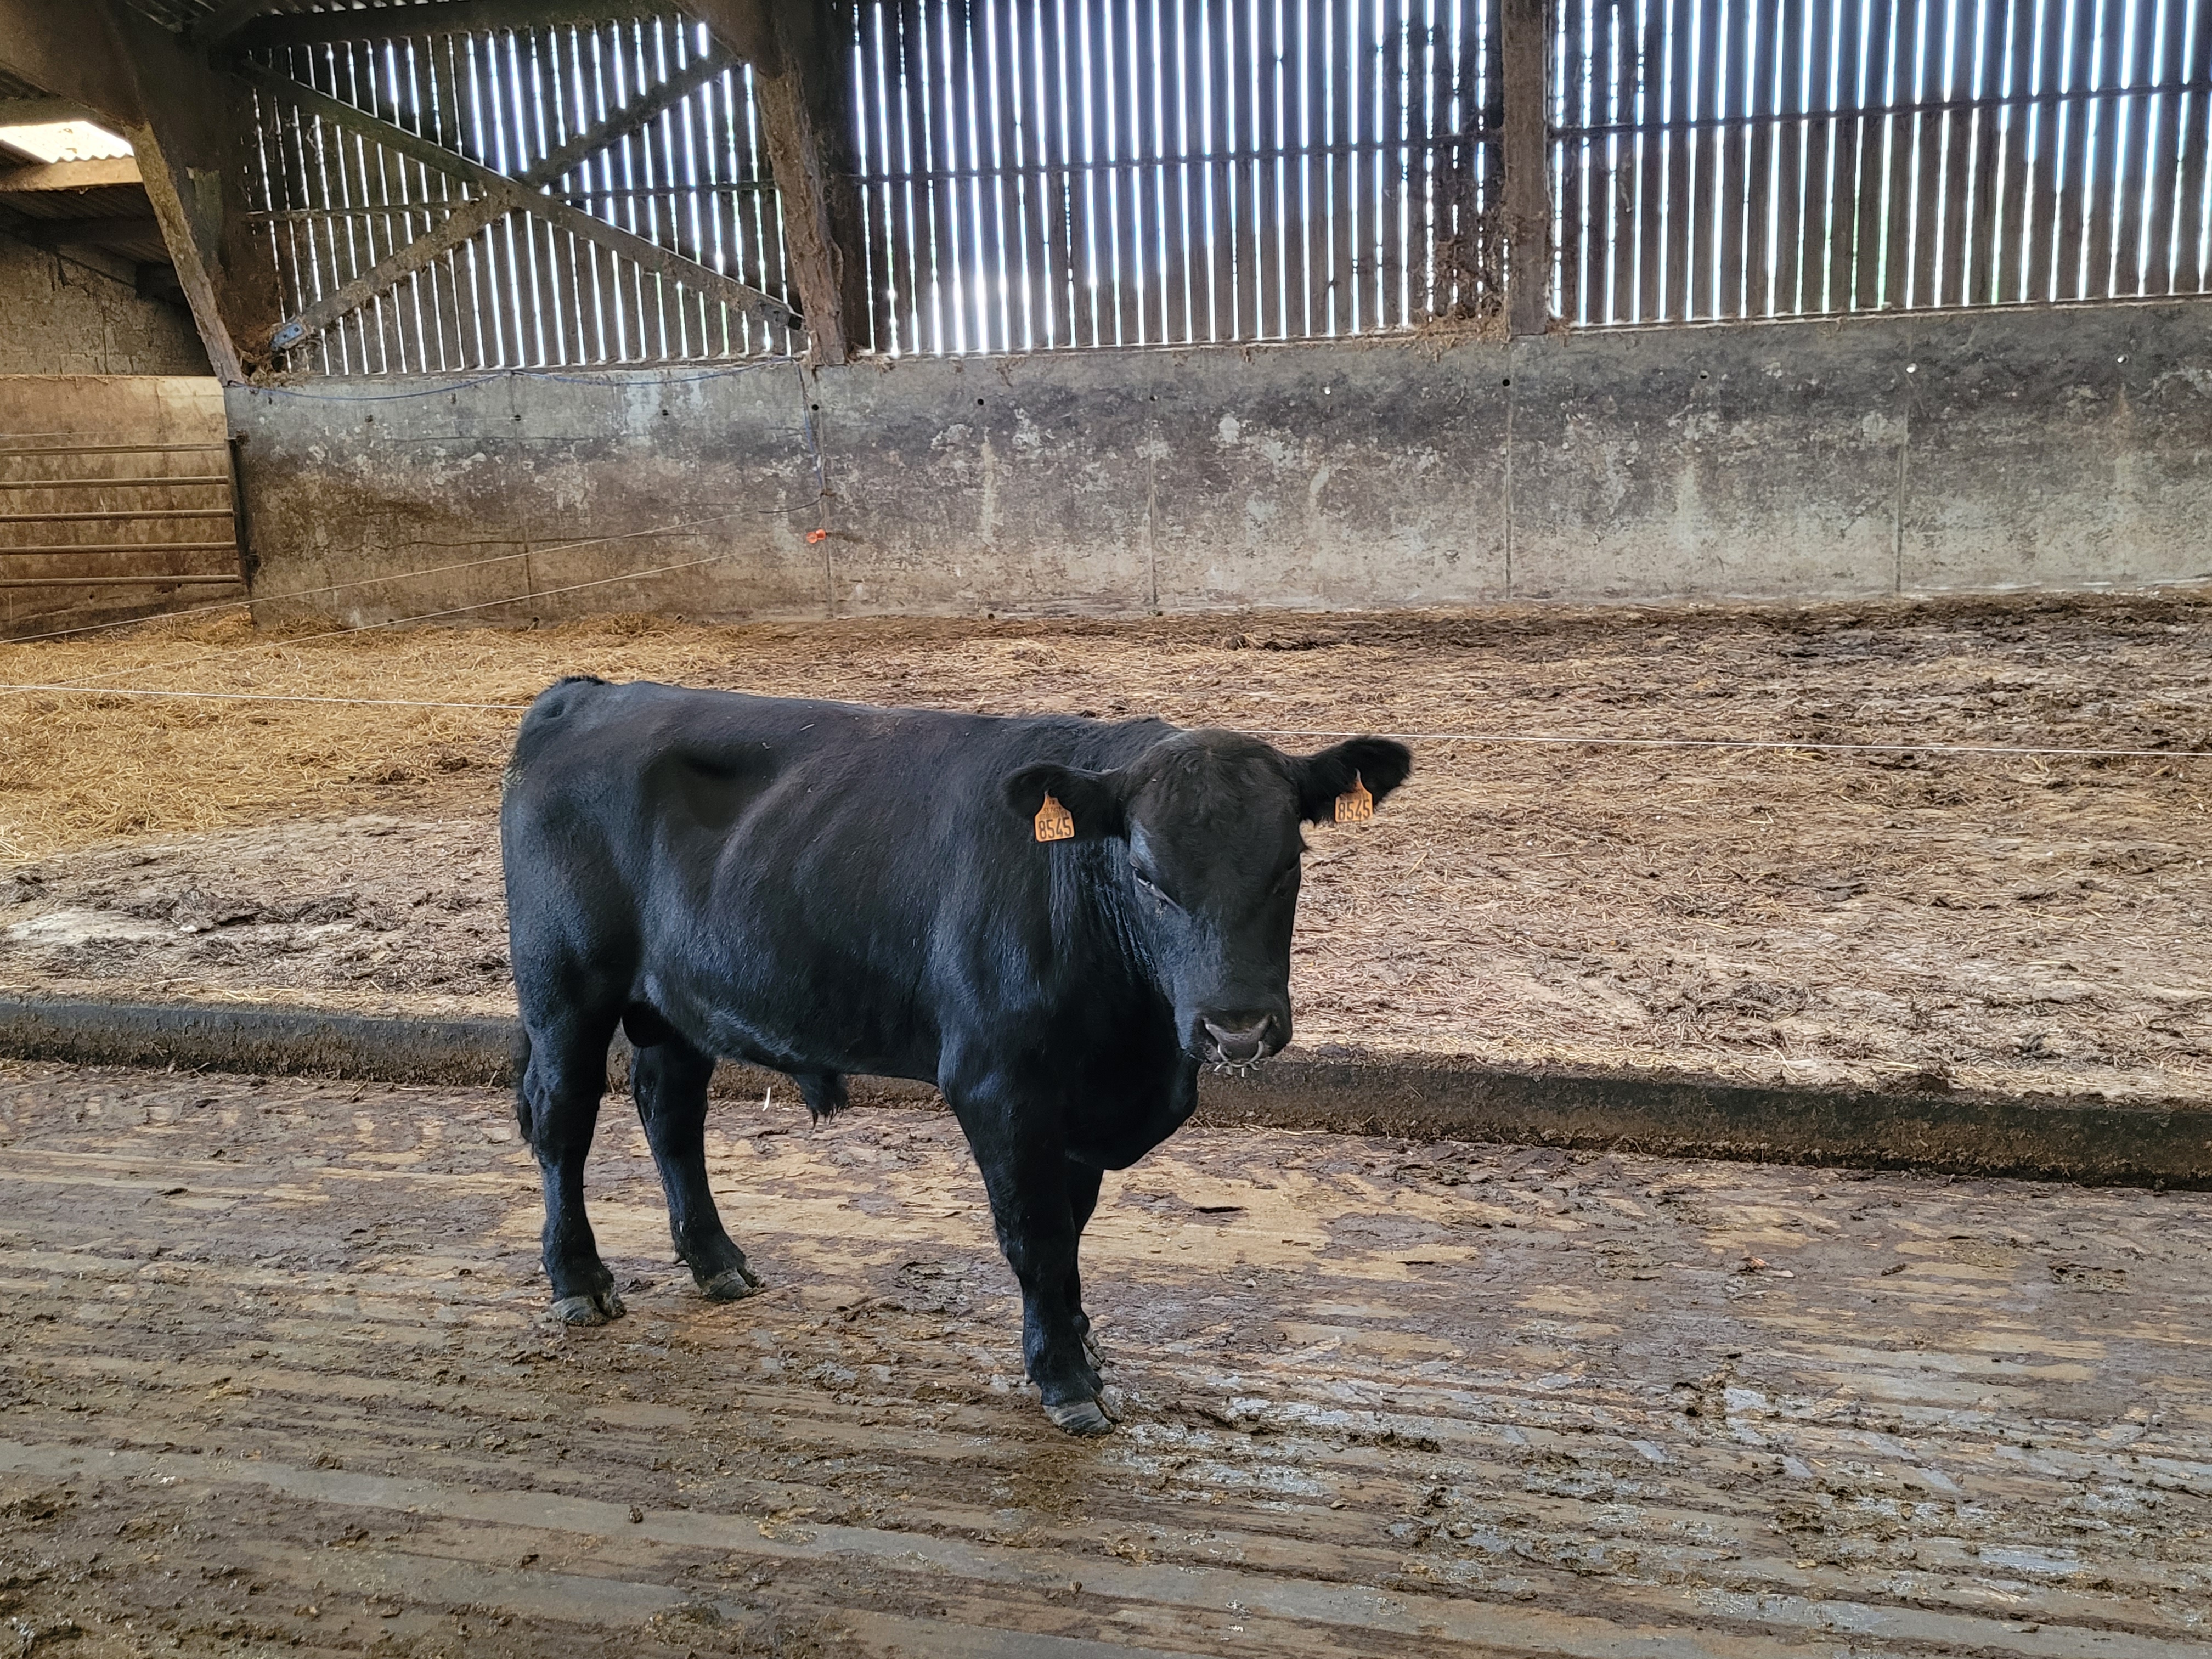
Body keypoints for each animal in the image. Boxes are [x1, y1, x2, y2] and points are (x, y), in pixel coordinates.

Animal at [500, 677, 1411, 1434]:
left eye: (1289, 865)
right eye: (1149, 876)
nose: (1237, 1029)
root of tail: (592, 693)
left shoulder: (1077, 1105)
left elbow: (1073, 1228)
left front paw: (1085, 1346)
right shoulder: (997, 1087)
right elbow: (1037, 1235)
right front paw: (1064, 1380)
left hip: (678, 1002)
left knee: (671, 1111)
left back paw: (717, 1261)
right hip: (564, 989)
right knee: (563, 1123)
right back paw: (578, 1281)